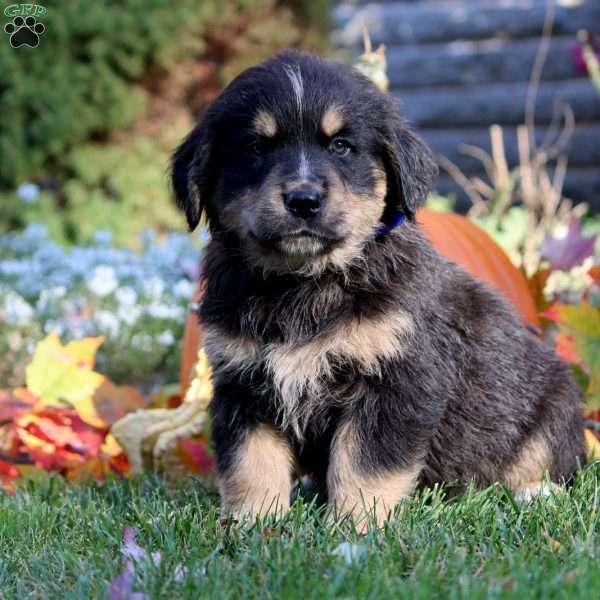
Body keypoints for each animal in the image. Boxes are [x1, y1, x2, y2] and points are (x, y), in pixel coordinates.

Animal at [171, 51, 584, 528]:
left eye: (341, 146)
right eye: (256, 147)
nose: (303, 200)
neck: (304, 283)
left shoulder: (397, 381)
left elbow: (365, 464)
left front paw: (354, 527)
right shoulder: (242, 383)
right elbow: (250, 462)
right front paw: (254, 523)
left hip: (553, 404)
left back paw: (537, 493)